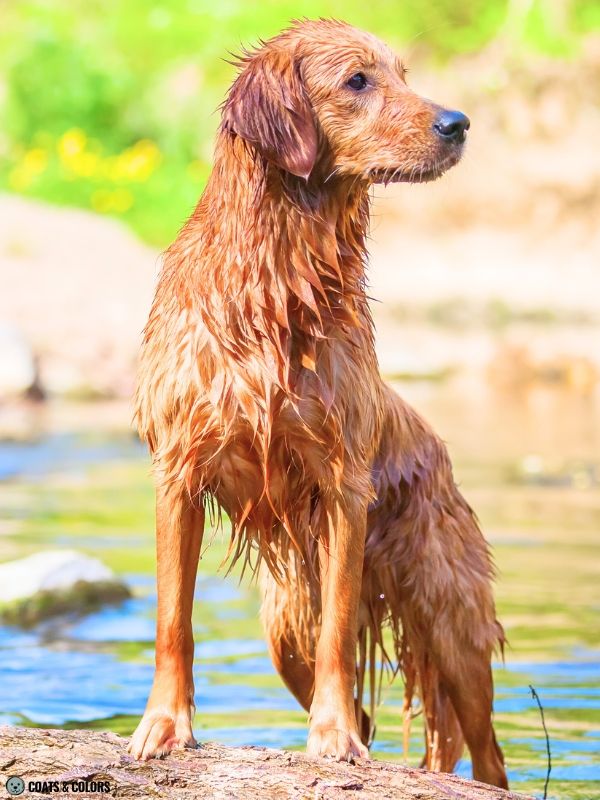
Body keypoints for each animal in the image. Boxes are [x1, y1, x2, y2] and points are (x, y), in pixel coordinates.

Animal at [129, 17, 508, 788]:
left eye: (402, 74)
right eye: (358, 81)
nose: (458, 123)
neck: (277, 282)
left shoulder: (342, 482)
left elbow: (337, 631)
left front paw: (332, 738)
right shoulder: (177, 472)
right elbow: (173, 619)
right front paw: (165, 725)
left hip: (452, 620)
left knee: (487, 751)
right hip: (282, 628)